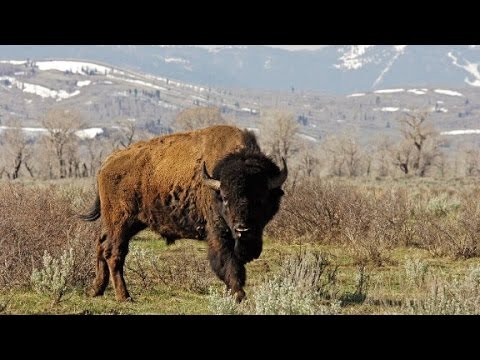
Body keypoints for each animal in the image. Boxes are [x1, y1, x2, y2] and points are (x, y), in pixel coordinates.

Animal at [80, 125, 286, 302]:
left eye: (261, 198)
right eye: (225, 198)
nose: (243, 229)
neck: (215, 184)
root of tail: (106, 164)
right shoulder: (219, 233)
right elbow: (229, 263)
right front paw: (239, 295)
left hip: (129, 223)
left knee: (101, 245)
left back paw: (96, 290)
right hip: (121, 222)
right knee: (114, 253)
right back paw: (124, 296)